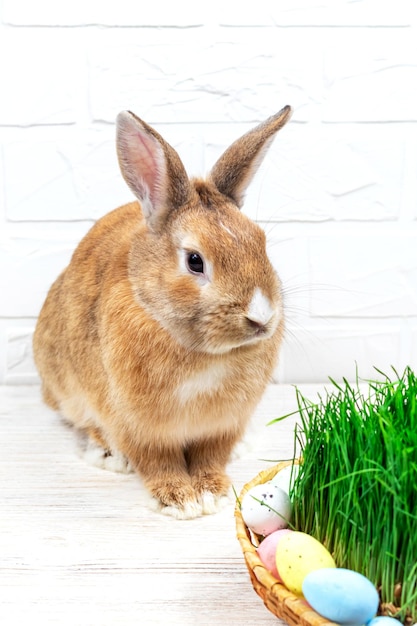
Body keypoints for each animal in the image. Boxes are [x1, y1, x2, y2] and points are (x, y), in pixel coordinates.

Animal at [32, 105, 290, 516]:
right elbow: (157, 462)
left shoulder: (222, 425)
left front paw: (212, 492)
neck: (204, 355)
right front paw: (180, 501)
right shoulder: (139, 426)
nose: (262, 318)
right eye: (195, 261)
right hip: (65, 386)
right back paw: (109, 455)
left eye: (261, 243)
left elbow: (210, 456)